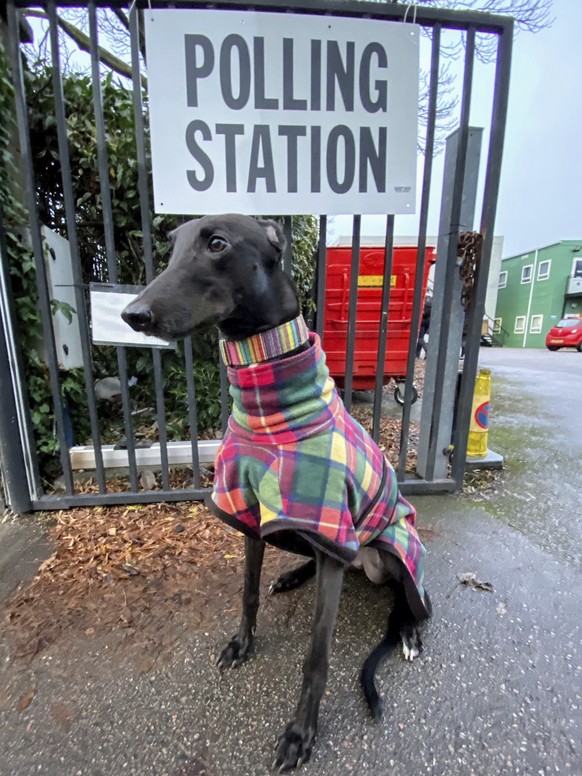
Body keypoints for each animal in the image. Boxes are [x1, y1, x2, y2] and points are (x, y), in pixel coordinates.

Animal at [122, 212, 434, 768]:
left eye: (217, 243)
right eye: (171, 246)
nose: (133, 314)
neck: (268, 411)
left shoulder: (331, 529)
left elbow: (317, 656)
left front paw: (300, 734)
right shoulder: (251, 515)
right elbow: (247, 592)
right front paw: (241, 644)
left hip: (391, 545)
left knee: (409, 594)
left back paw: (410, 630)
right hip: (302, 535)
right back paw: (290, 577)